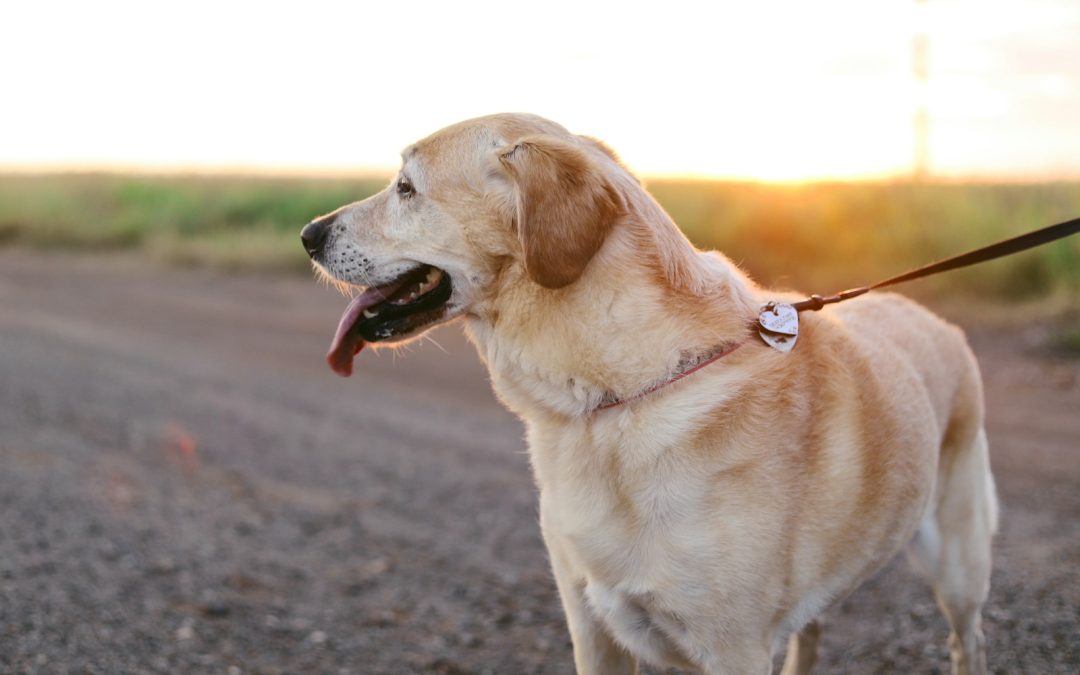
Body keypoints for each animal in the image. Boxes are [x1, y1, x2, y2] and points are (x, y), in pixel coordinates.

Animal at [302, 113, 993, 669]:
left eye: (407, 188)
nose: (308, 234)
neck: (610, 399)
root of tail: (937, 320)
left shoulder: (732, 649)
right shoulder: (594, 629)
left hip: (959, 568)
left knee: (967, 642)